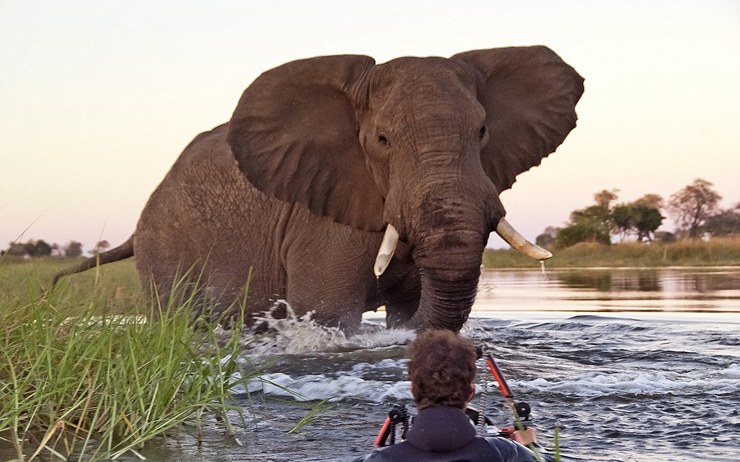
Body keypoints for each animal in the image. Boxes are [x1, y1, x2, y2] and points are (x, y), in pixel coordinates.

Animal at [53, 46, 584, 332]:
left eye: (482, 132)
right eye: (381, 141)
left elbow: (411, 307)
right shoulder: (319, 222)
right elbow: (330, 316)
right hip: (165, 250)